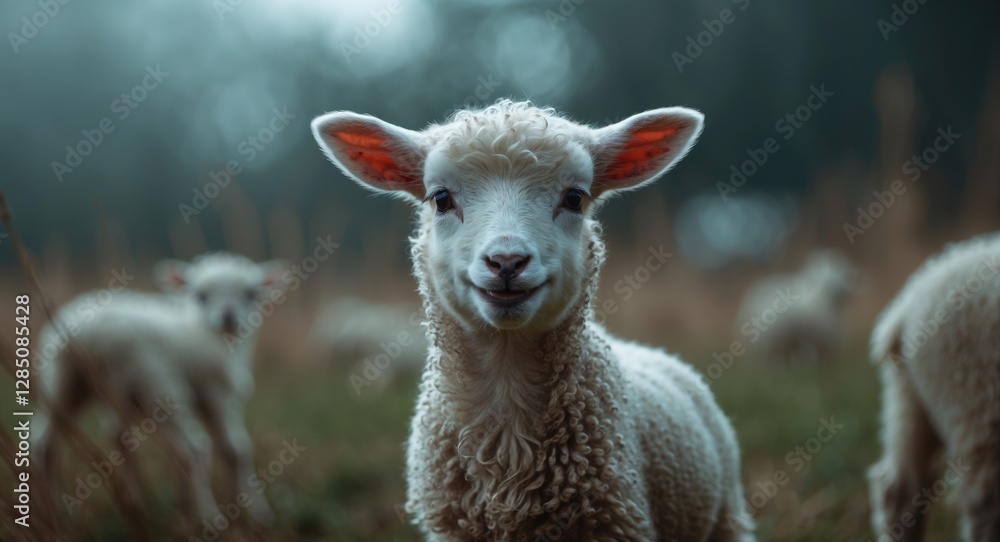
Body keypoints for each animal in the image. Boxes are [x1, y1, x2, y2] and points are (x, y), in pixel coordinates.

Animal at [32, 252, 285, 524]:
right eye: (201, 295)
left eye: (251, 294)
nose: (228, 317)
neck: (204, 331)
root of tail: (94, 333)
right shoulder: (218, 392)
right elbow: (237, 448)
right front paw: (258, 512)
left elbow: (222, 450)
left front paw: (200, 505)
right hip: (157, 382)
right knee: (195, 448)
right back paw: (210, 516)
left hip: (64, 380)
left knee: (46, 442)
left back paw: (58, 512)